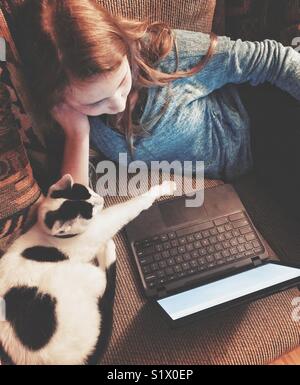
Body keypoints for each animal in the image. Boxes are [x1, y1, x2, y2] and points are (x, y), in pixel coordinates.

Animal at [0, 173, 177, 364]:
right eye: (90, 211)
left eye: (89, 192)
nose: (101, 199)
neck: (46, 232)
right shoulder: (100, 227)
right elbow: (132, 206)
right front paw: (163, 188)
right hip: (84, 274)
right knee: (105, 285)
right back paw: (107, 251)